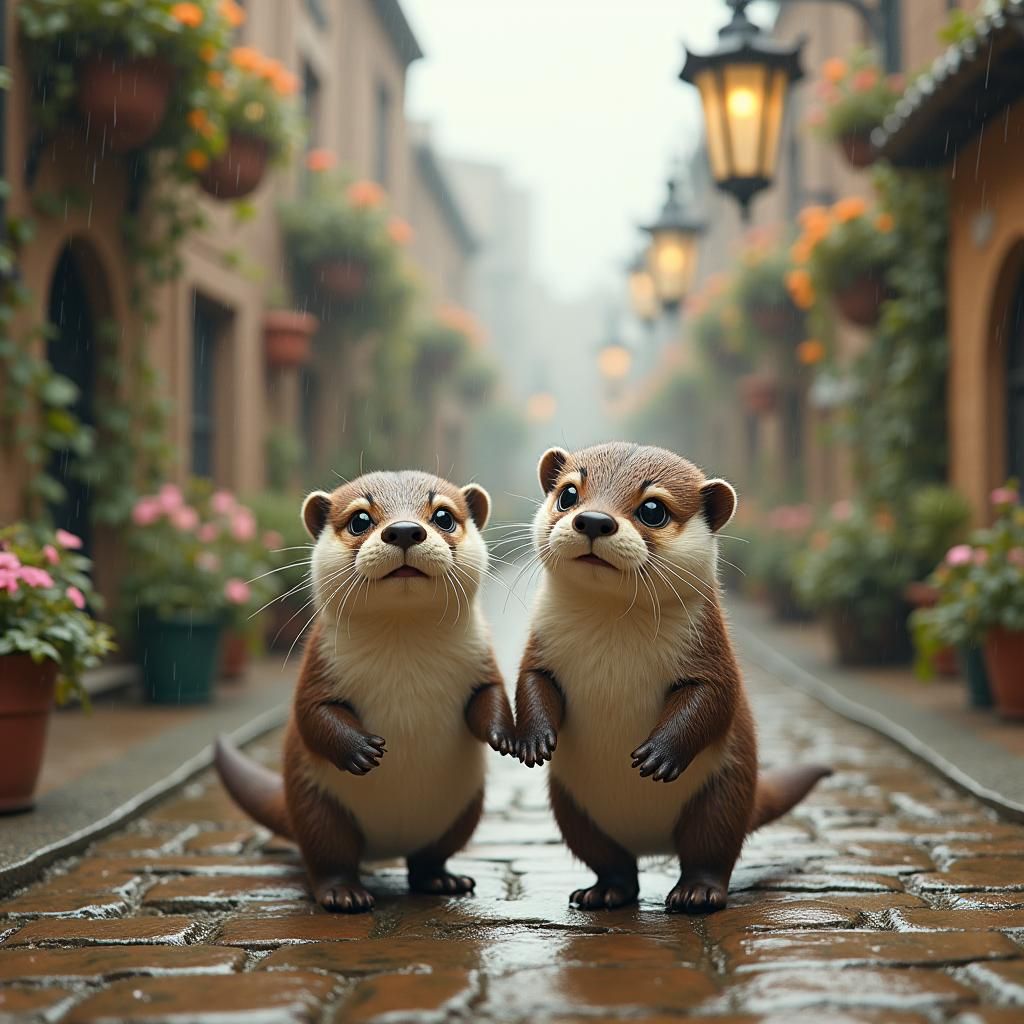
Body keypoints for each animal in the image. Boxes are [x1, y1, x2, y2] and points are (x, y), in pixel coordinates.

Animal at [215, 471, 515, 913]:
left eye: (443, 516)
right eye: (360, 520)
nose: (405, 530)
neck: (404, 659)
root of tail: (387, 845)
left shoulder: (483, 660)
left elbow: (490, 694)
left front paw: (505, 736)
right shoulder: (316, 668)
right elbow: (311, 714)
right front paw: (361, 750)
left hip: (464, 811)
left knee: (428, 858)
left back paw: (443, 880)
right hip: (317, 807)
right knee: (330, 856)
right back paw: (344, 894)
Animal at [514, 443, 830, 914]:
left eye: (653, 509)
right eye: (568, 494)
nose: (594, 520)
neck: (613, 643)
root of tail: (650, 842)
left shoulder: (714, 657)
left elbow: (715, 698)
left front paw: (659, 755)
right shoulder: (539, 649)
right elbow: (529, 682)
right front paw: (534, 740)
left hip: (722, 795)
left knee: (709, 852)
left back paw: (696, 893)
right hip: (573, 811)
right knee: (613, 863)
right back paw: (602, 892)